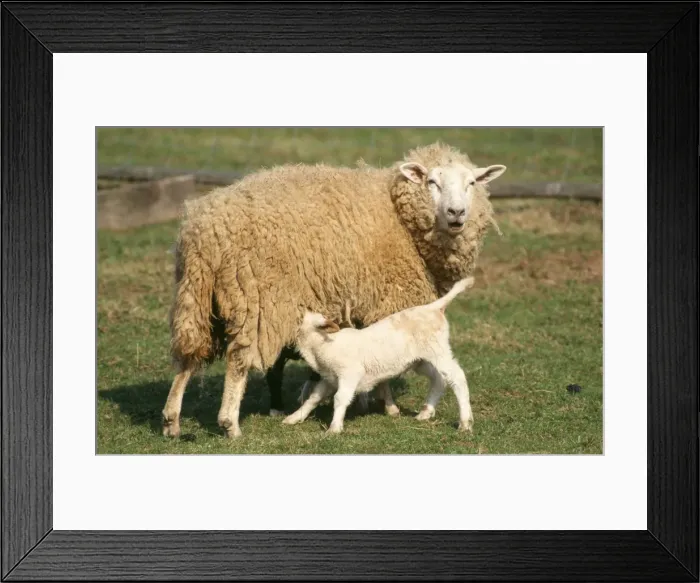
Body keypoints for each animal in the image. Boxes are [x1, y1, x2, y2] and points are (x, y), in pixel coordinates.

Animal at [283, 277, 476, 434]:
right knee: (439, 379)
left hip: (438, 350)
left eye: (300, 313)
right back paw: (425, 413)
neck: (322, 346)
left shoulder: (349, 373)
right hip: (421, 360)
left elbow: (340, 398)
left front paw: (334, 428)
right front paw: (294, 418)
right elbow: (313, 398)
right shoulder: (330, 378)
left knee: (457, 377)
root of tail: (434, 307)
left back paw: (465, 423)